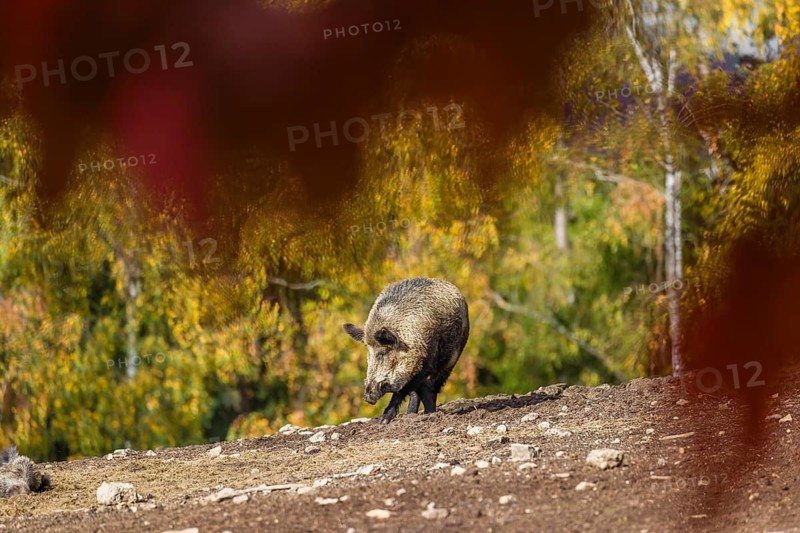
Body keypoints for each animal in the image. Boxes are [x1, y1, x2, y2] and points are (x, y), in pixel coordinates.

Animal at [343, 277, 469, 423]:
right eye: (368, 354)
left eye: (383, 352)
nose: (368, 398)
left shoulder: (427, 362)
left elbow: (404, 389)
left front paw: (384, 419)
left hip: (454, 356)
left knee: (436, 384)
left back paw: (429, 412)